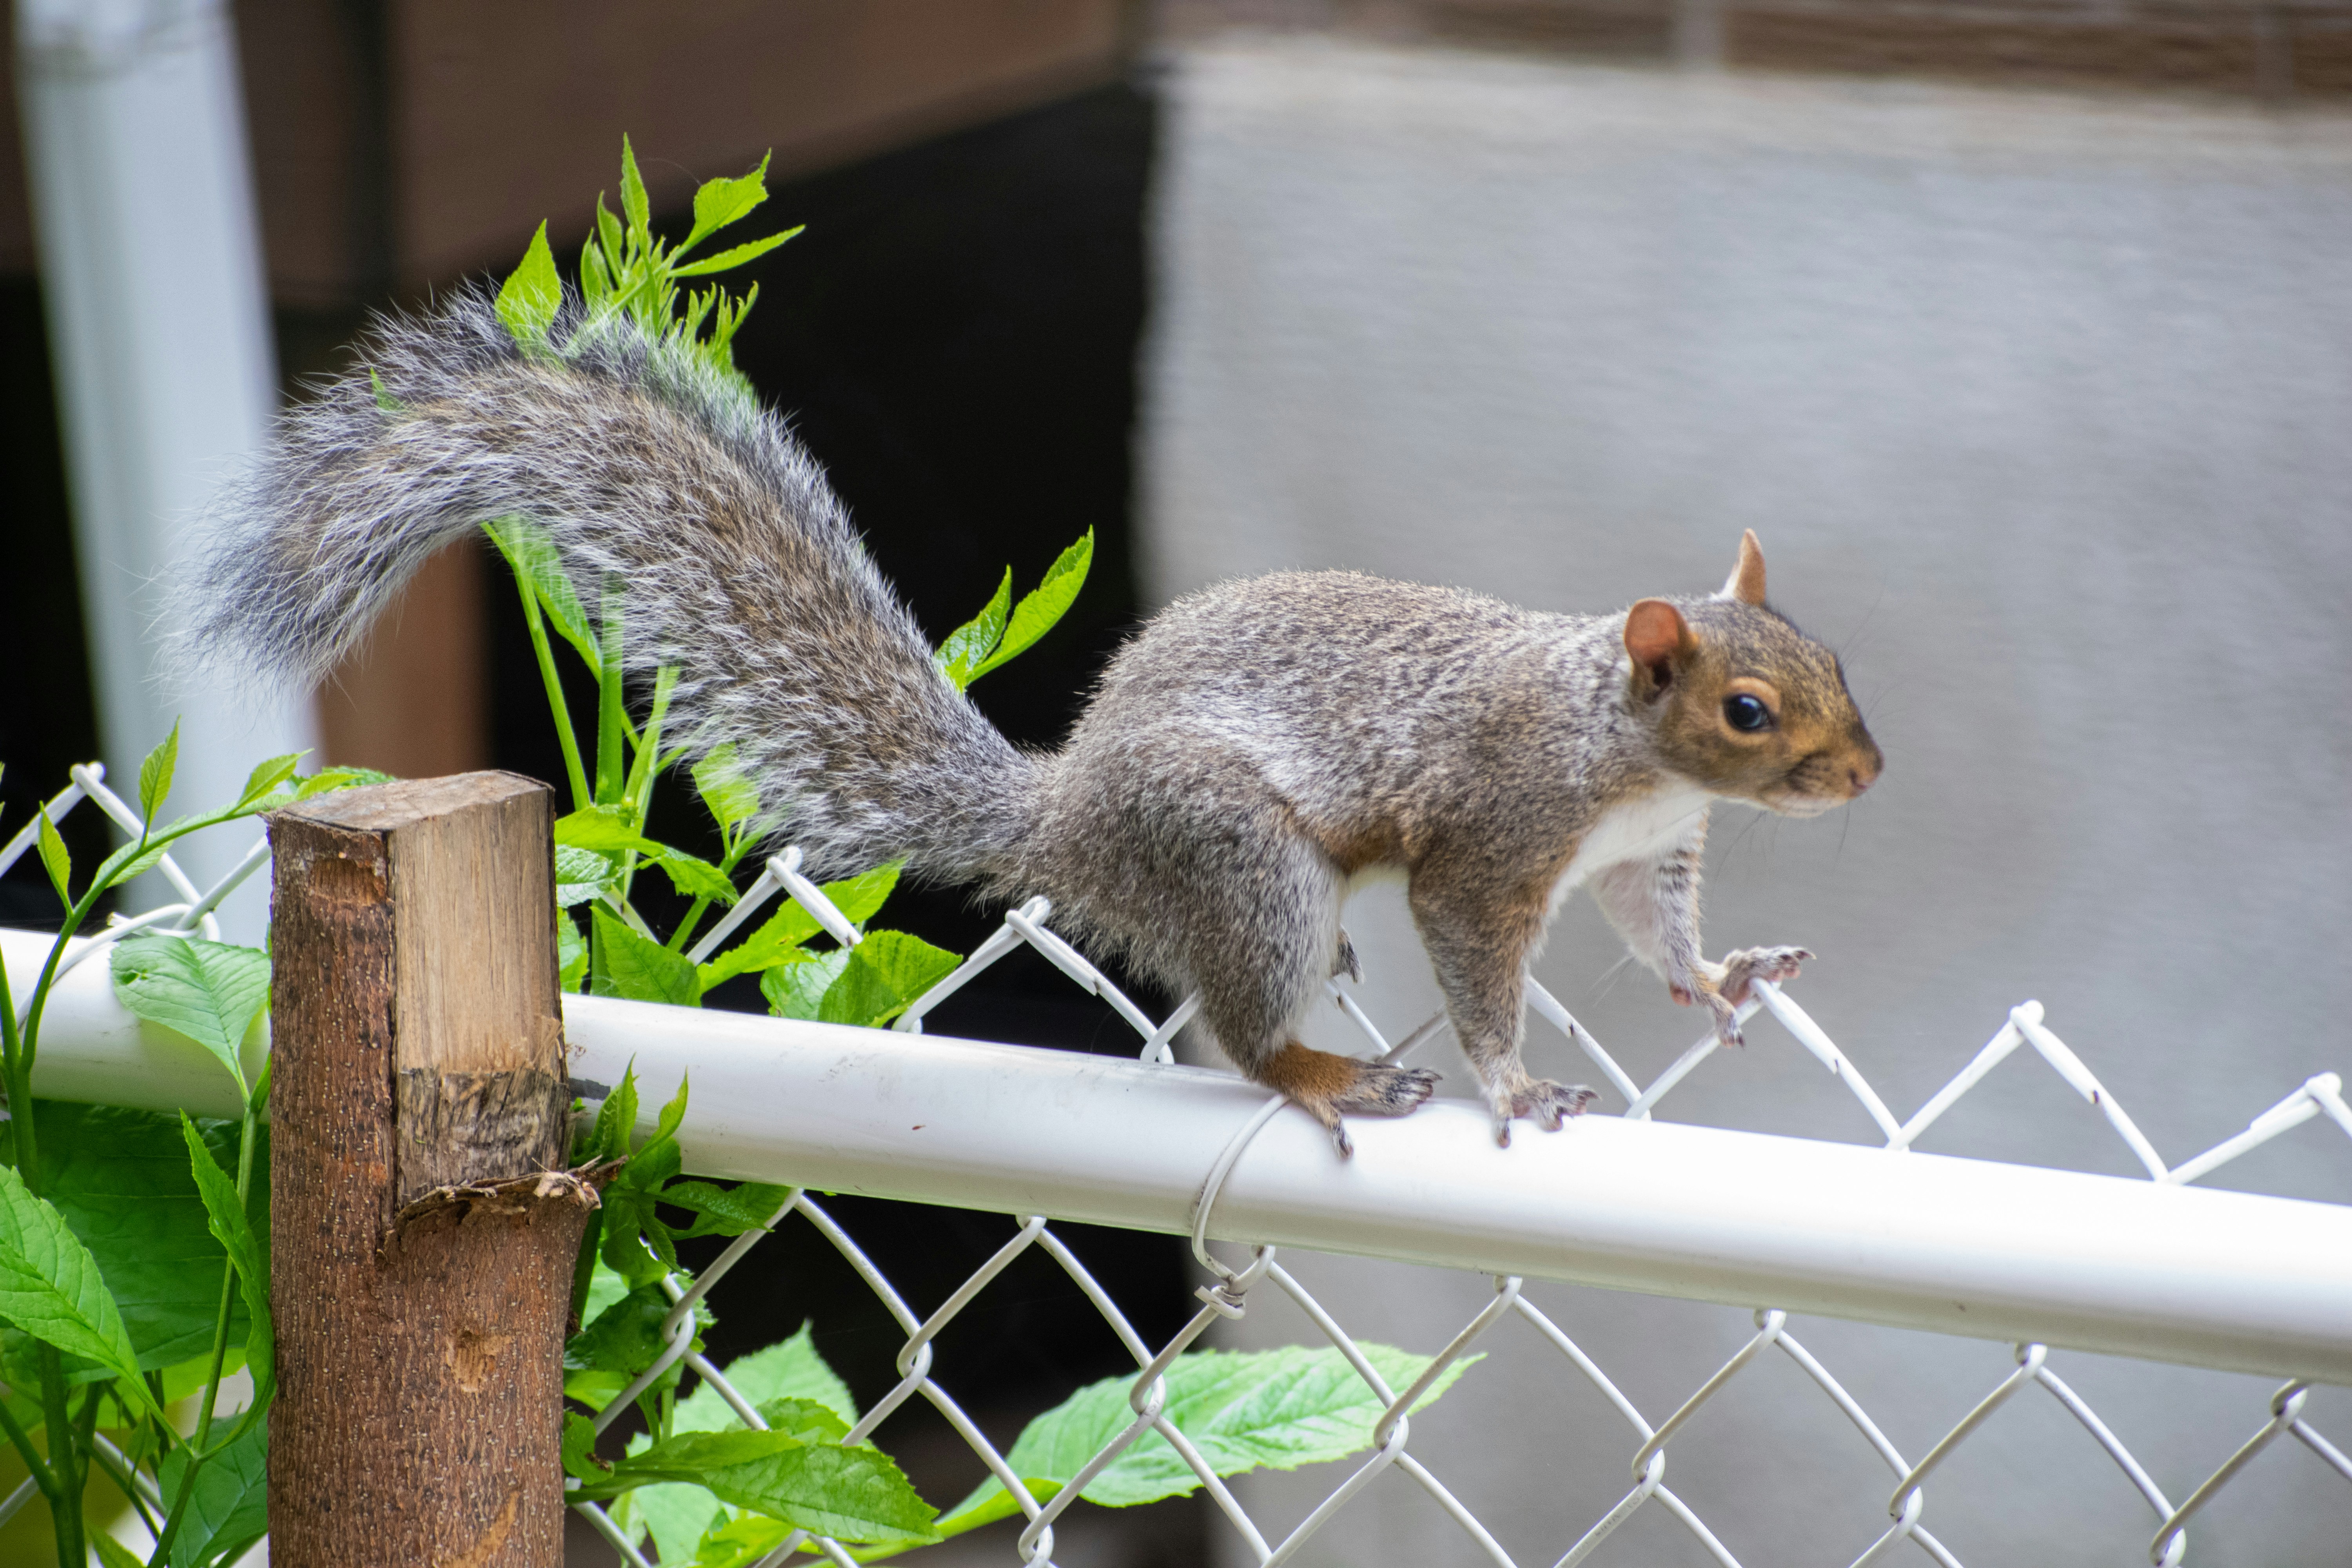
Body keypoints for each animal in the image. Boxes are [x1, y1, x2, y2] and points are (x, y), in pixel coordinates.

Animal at [184, 292, 1883, 1155]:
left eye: (1834, 655)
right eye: (1749, 708)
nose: (1869, 773)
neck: (1625, 753)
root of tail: (1065, 816)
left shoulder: (1640, 853)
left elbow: (1662, 936)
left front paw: (1721, 979)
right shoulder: (1496, 832)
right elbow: (1477, 962)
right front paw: (1515, 1087)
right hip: (1238, 855)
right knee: (1245, 1030)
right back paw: (1322, 1074)